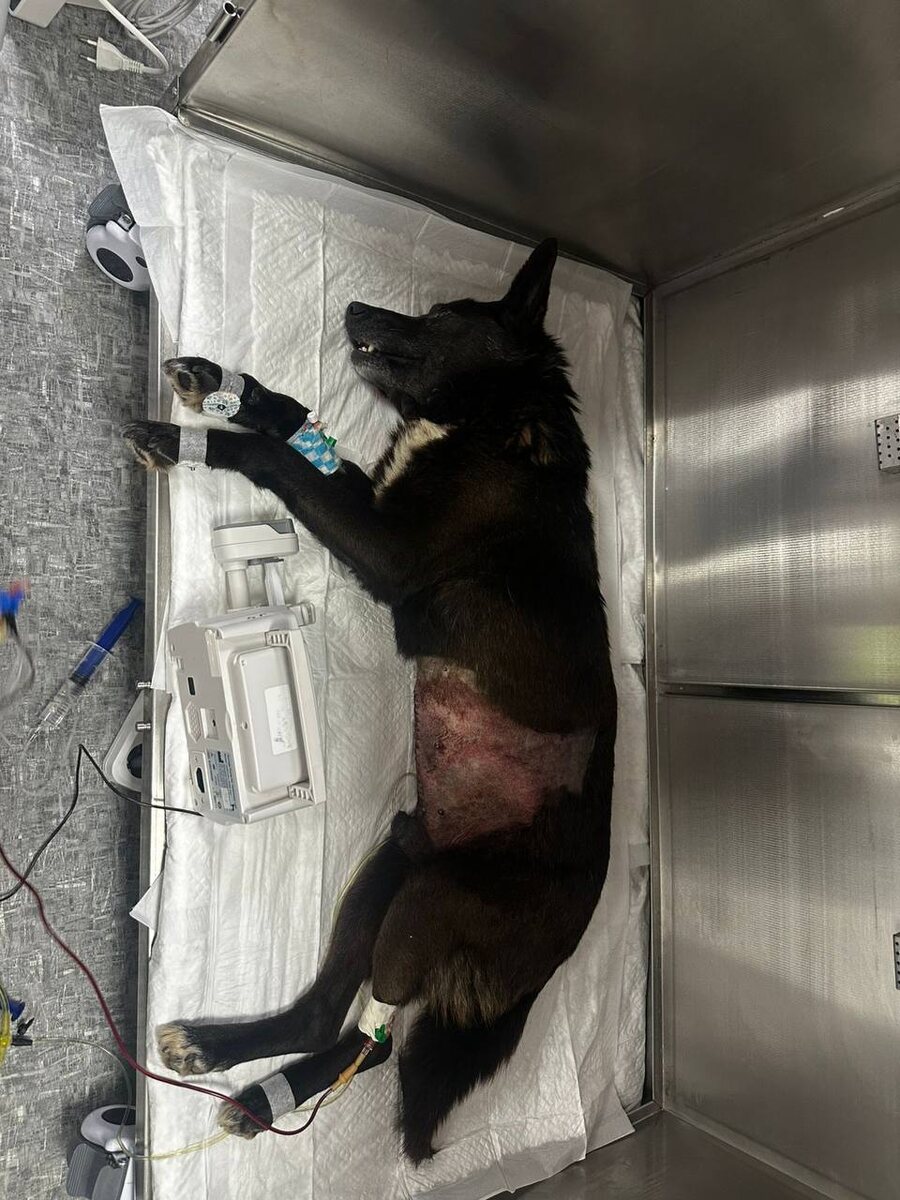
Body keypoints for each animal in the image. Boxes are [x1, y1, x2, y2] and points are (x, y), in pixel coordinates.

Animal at [124, 239, 617, 1163]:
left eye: (443, 315)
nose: (354, 306)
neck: (493, 419)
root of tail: (553, 963)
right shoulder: (370, 501)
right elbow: (298, 431)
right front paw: (225, 389)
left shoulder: (390, 549)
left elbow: (279, 461)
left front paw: (190, 438)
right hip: (393, 858)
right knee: (329, 1017)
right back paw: (227, 1060)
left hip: (426, 905)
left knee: (376, 1037)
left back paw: (257, 1091)